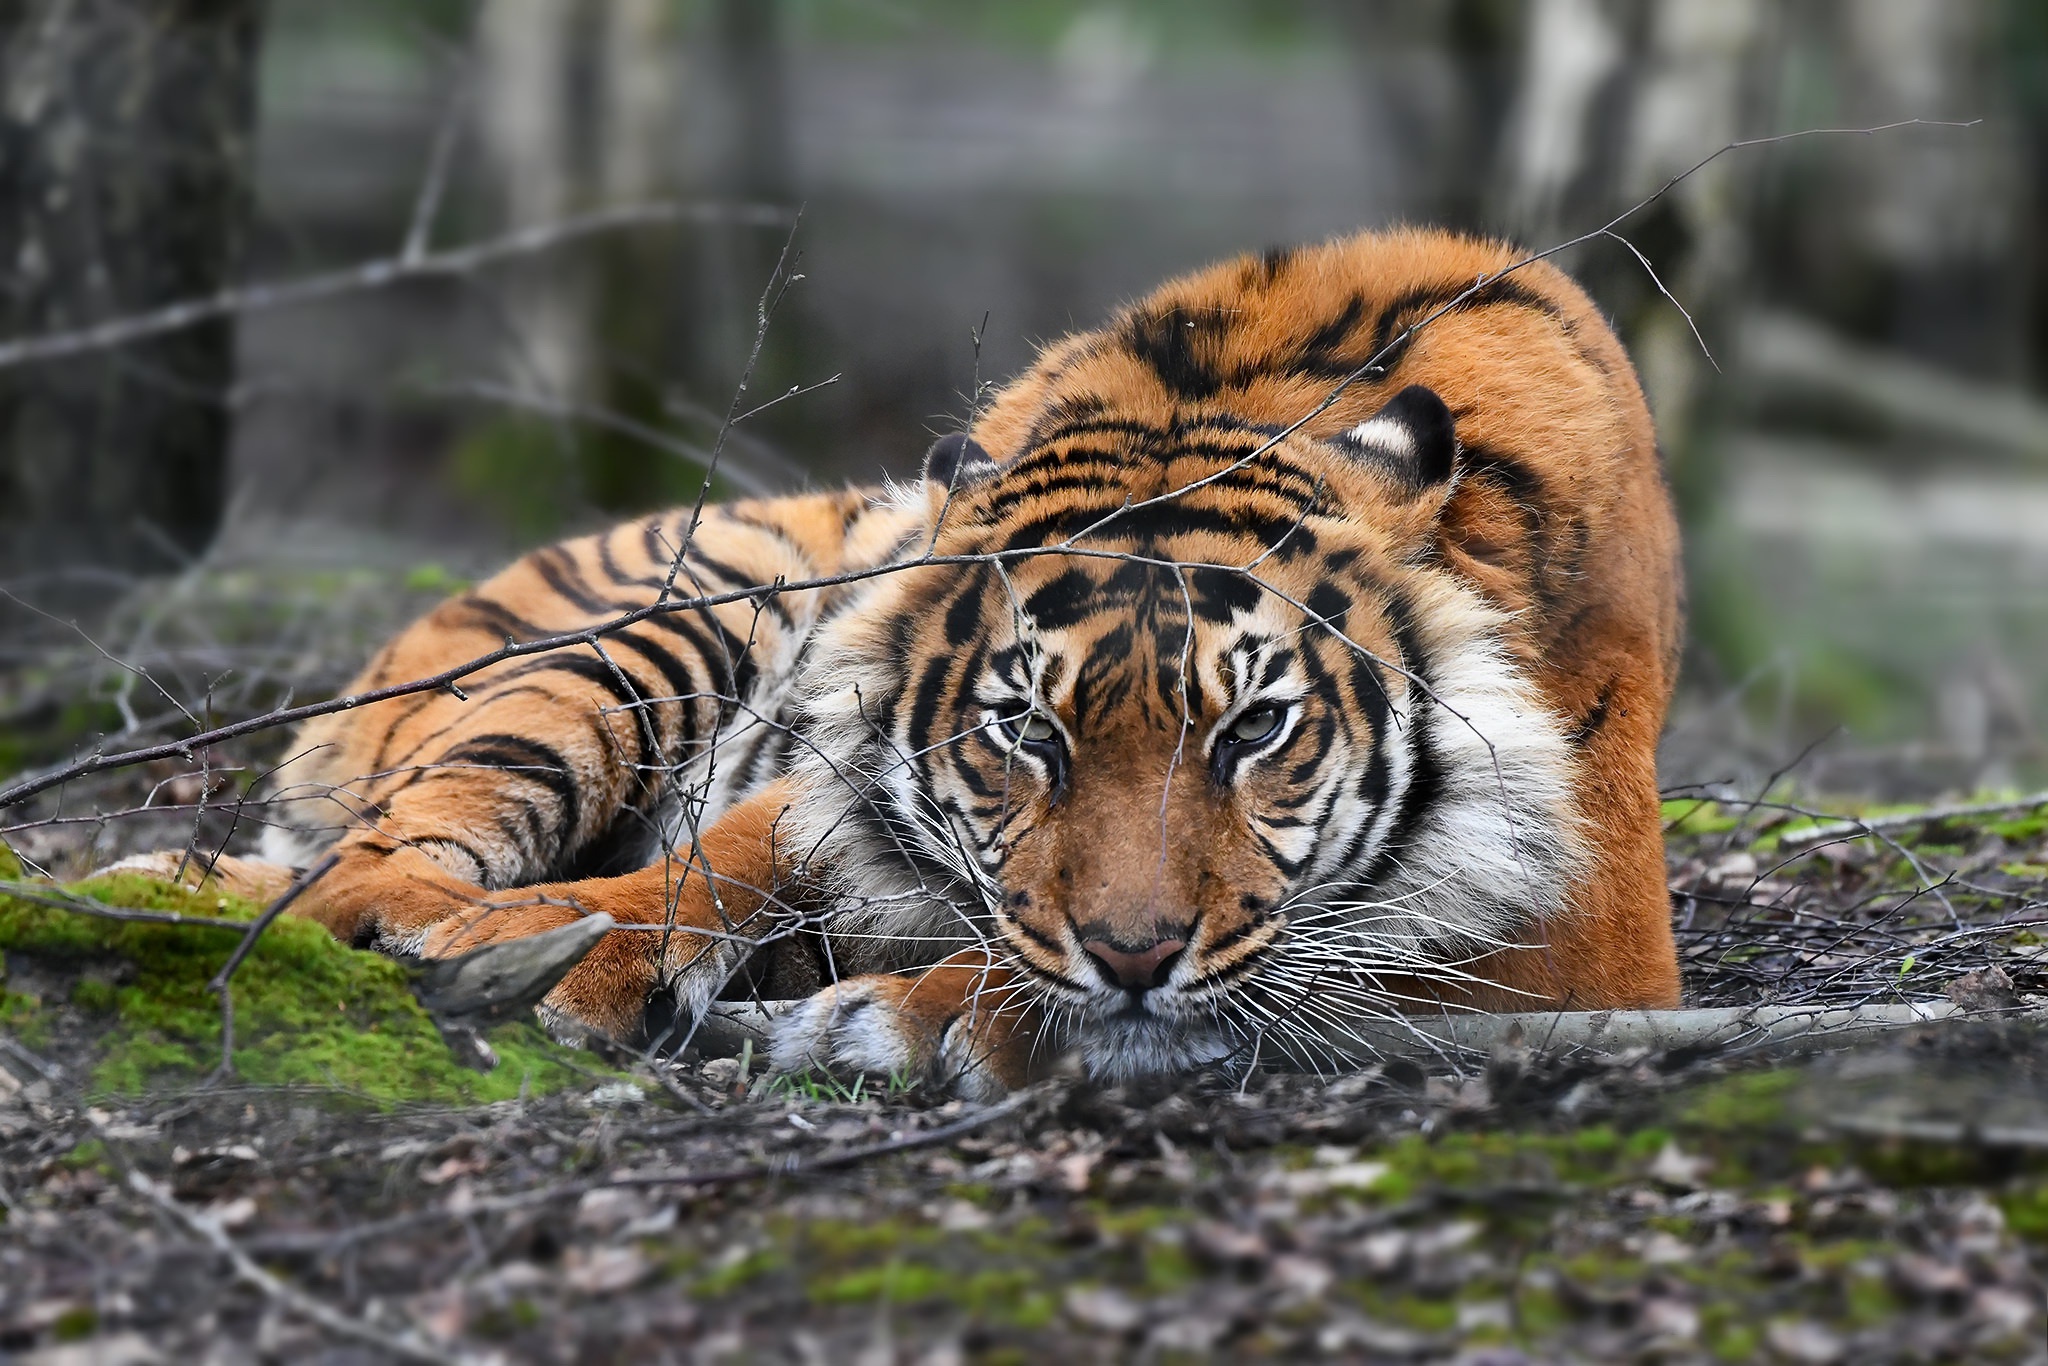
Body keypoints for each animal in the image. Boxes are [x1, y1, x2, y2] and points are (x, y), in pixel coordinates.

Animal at [116, 227, 1679, 1097]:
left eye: (1252, 732)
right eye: (1026, 731)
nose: (1134, 953)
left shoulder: (1584, 941)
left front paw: (898, 1015)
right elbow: (730, 850)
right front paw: (560, 952)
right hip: (667, 624)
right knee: (374, 849)